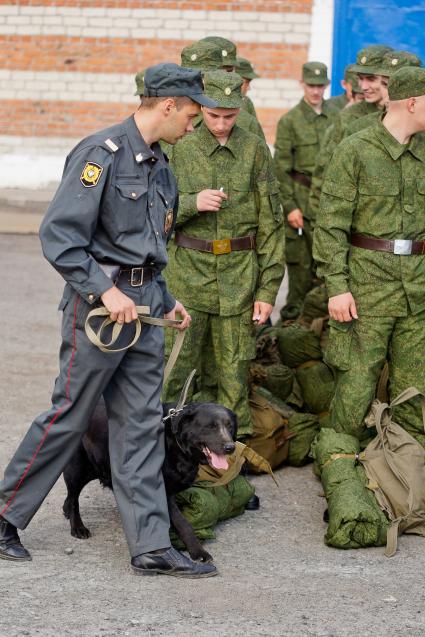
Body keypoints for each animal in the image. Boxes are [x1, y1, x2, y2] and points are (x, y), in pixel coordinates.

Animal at [61, 402, 237, 560]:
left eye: (230, 426)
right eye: (210, 426)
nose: (230, 448)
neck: (174, 444)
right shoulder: (161, 492)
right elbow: (183, 524)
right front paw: (197, 552)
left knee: (71, 496)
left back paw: (66, 510)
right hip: (77, 468)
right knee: (74, 497)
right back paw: (78, 527)